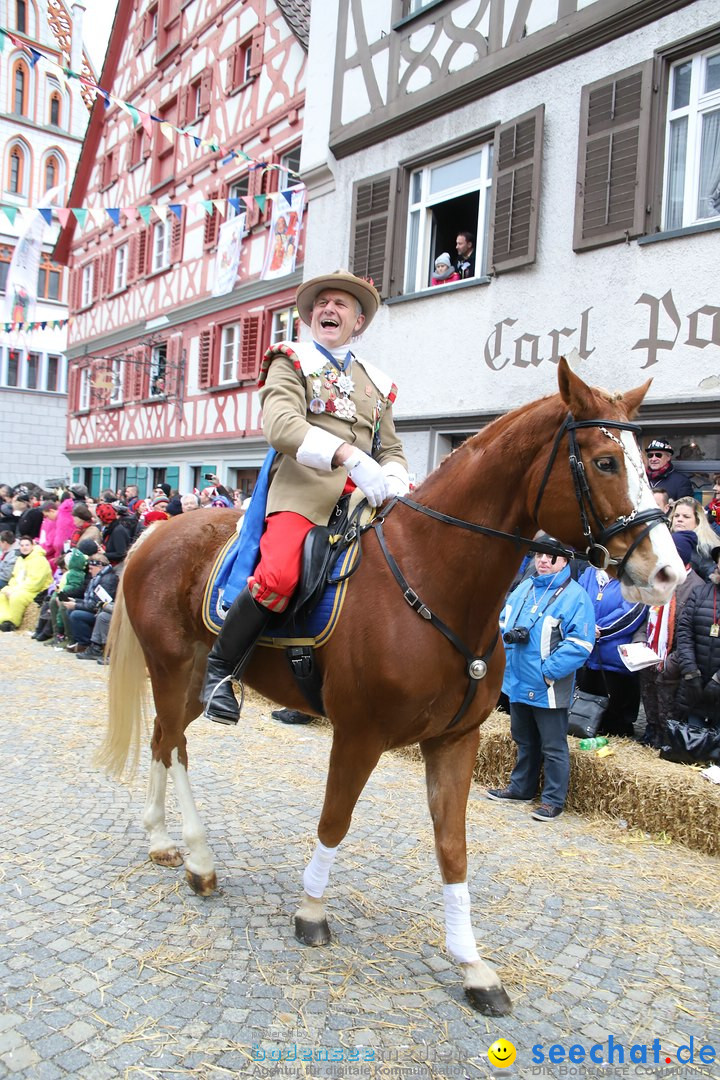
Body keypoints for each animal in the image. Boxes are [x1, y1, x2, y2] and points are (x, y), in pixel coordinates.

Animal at [99, 360, 682, 1010]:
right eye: (605, 462)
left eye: (645, 462)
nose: (668, 573)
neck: (435, 578)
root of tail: (156, 533)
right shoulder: (359, 734)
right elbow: (334, 820)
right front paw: (311, 910)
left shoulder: (455, 742)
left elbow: (453, 848)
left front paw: (473, 966)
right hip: (177, 670)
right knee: (174, 746)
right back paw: (198, 858)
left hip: (186, 679)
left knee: (161, 740)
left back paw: (161, 840)